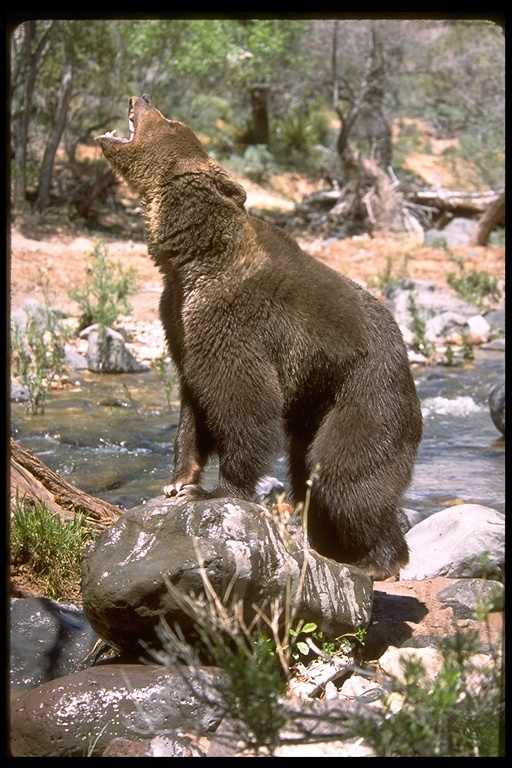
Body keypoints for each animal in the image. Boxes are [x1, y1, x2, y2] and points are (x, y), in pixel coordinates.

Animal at [95, 93, 420, 580]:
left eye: (169, 121)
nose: (141, 97)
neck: (192, 253)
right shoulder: (178, 317)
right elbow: (193, 401)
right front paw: (177, 480)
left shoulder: (234, 316)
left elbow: (243, 400)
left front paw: (214, 490)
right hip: (317, 402)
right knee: (310, 473)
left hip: (367, 394)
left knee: (345, 473)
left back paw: (378, 559)